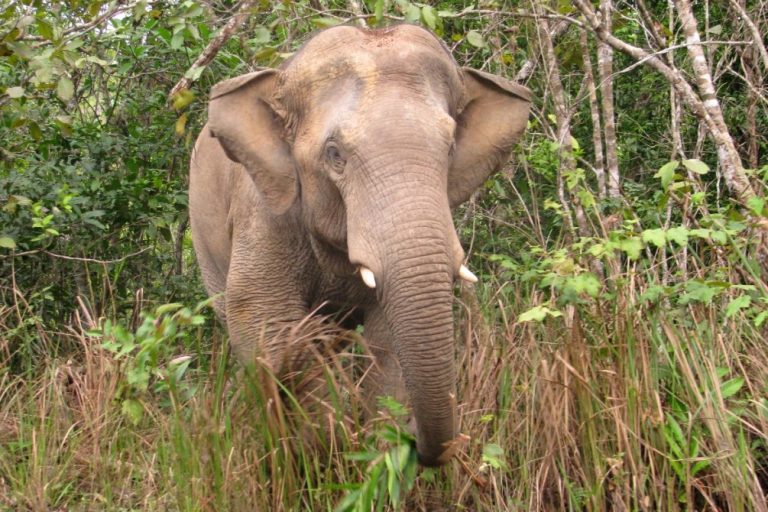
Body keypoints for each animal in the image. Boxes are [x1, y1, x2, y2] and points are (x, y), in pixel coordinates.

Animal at [189, 22, 532, 466]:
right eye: (334, 153)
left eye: (451, 146)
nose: (422, 444)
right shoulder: (264, 210)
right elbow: (266, 321)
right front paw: (326, 446)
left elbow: (387, 343)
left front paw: (378, 449)